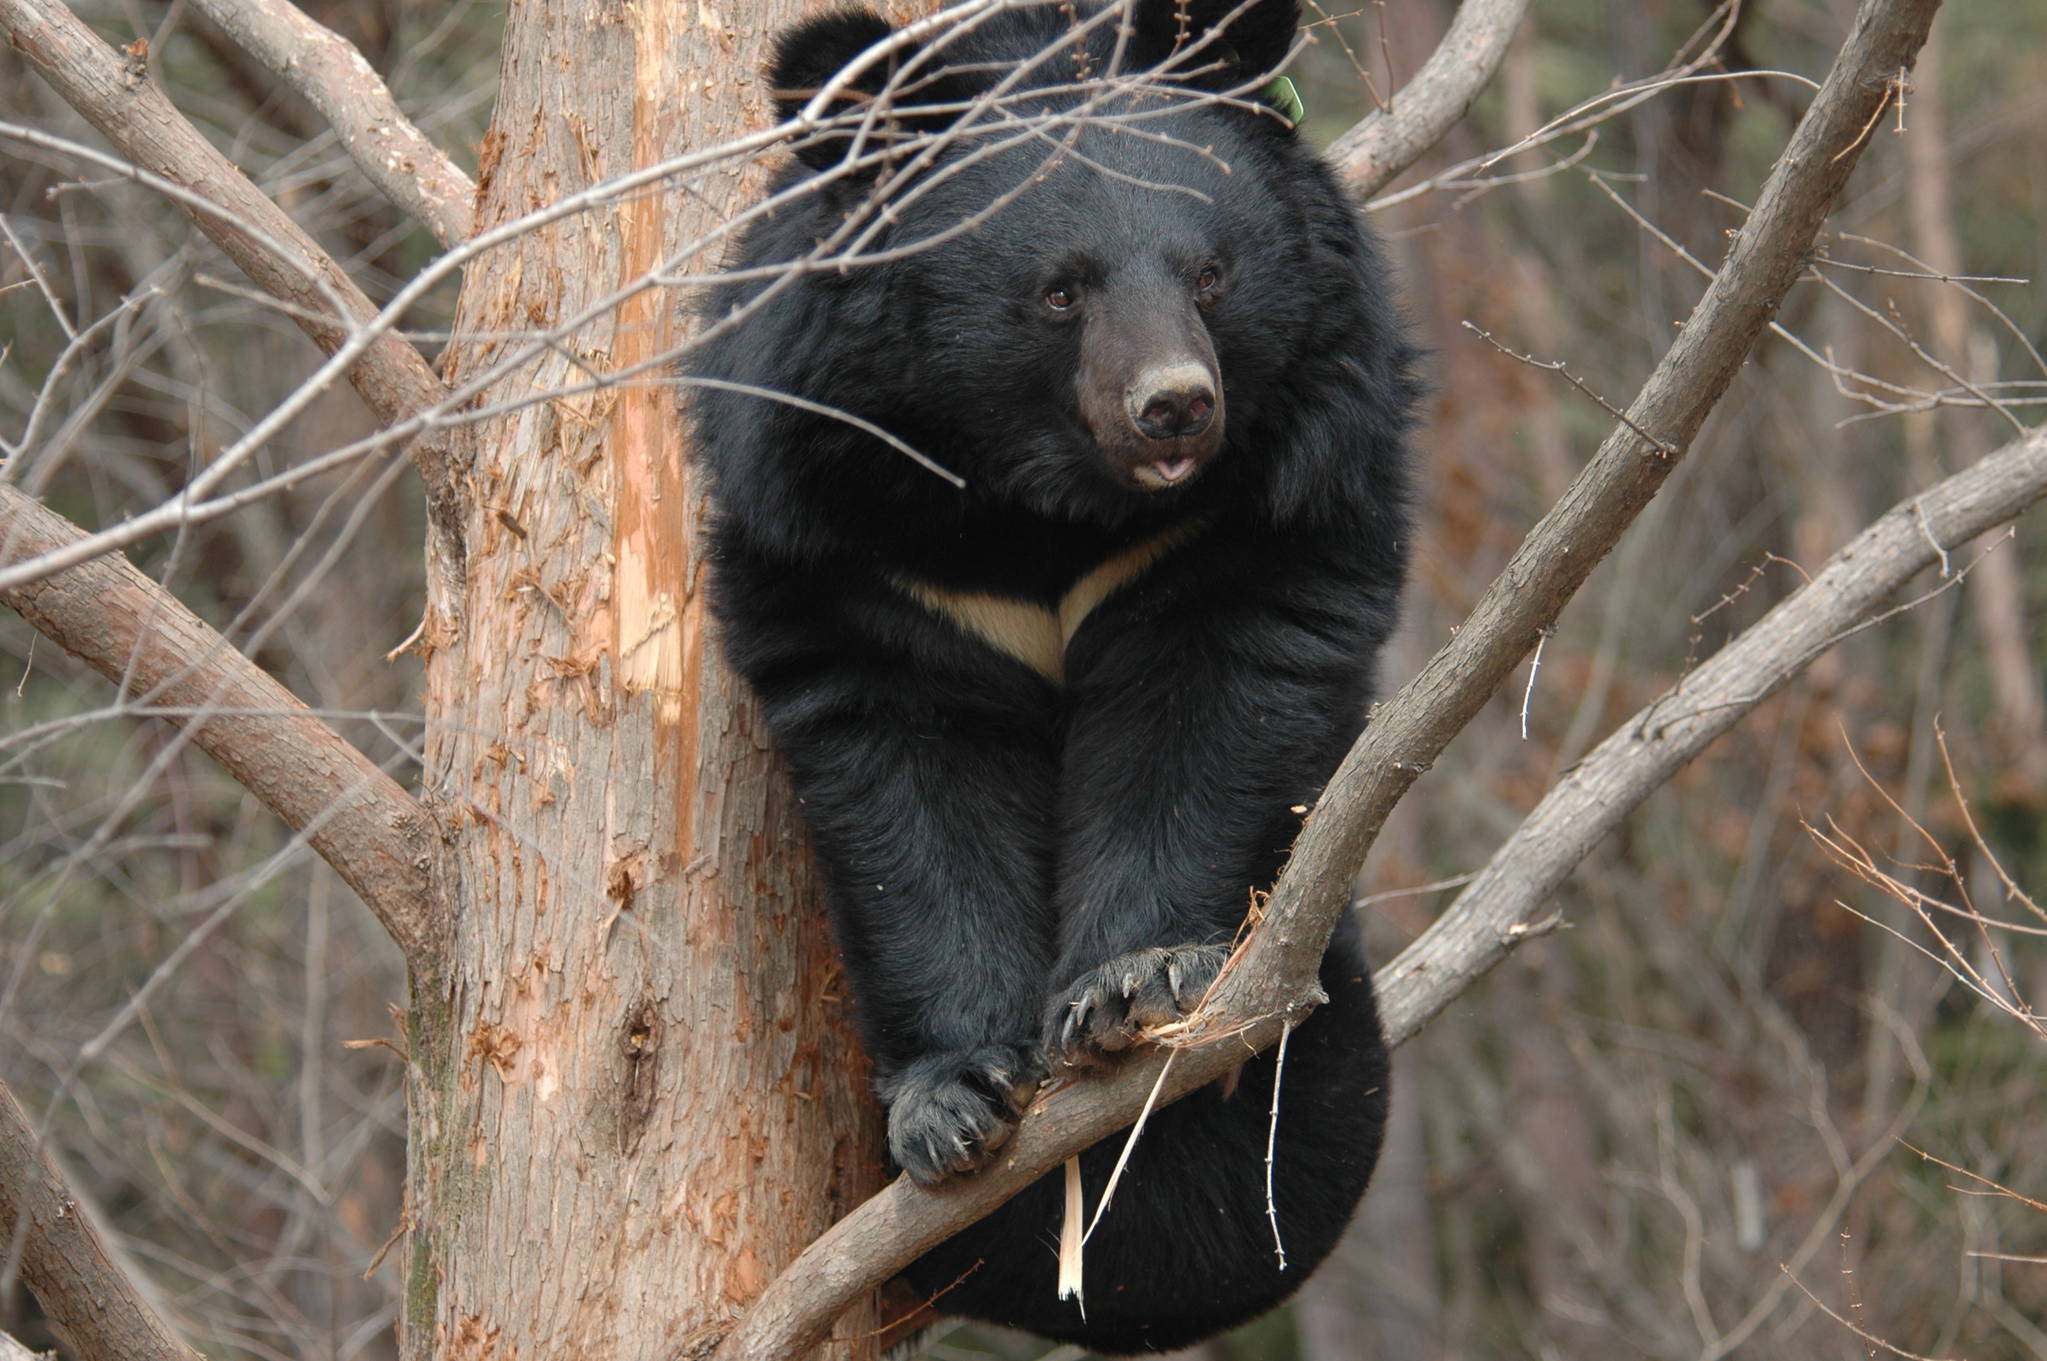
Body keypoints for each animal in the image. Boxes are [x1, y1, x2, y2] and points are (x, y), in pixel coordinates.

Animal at [695, 2, 1416, 1350]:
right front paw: (955, 1097)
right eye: (1060, 290)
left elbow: (1209, 707)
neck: (1036, 504)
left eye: (1210, 275)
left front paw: (1132, 984)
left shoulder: (1276, 474)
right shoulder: (842, 527)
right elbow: (906, 785)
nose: (1175, 406)